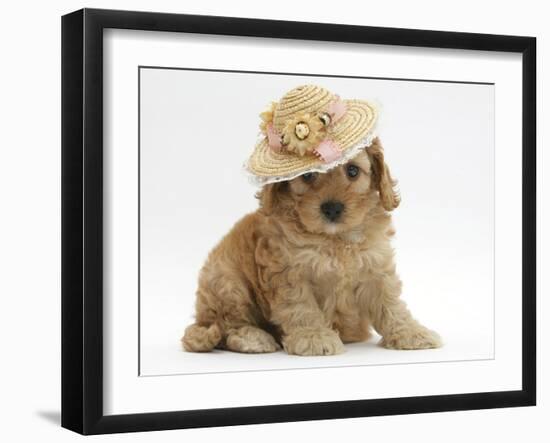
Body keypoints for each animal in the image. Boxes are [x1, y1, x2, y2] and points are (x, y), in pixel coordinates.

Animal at [182, 139, 444, 358]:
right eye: (307, 175)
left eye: (352, 171)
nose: (332, 208)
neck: (334, 239)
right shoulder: (289, 272)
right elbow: (301, 306)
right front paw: (314, 338)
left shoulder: (375, 265)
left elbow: (390, 302)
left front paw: (411, 333)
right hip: (227, 283)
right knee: (226, 326)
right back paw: (253, 338)